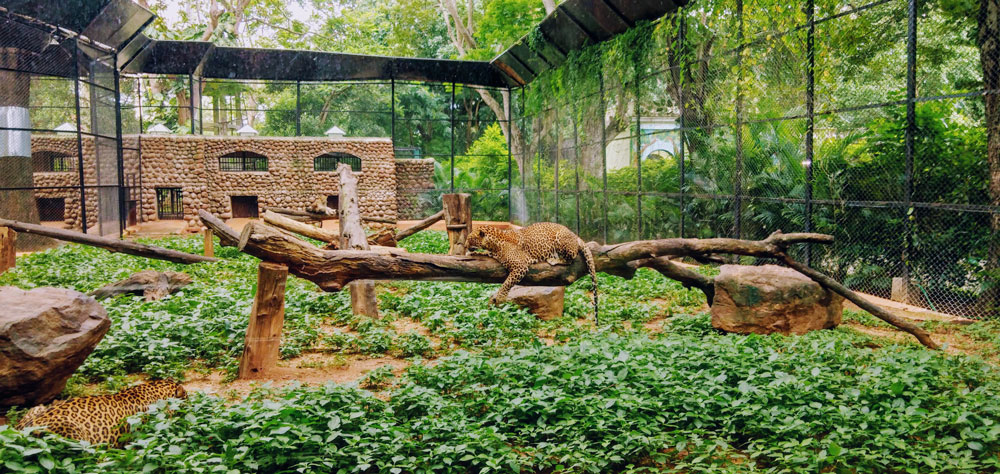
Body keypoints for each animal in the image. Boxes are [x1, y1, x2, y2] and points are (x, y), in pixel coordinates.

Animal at [464, 221, 596, 322]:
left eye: (470, 239)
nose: (465, 246)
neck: (494, 244)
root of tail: (575, 235)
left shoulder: (520, 266)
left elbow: (507, 283)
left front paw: (500, 297)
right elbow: (484, 253)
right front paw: (471, 253)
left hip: (562, 239)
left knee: (571, 258)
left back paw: (554, 259)